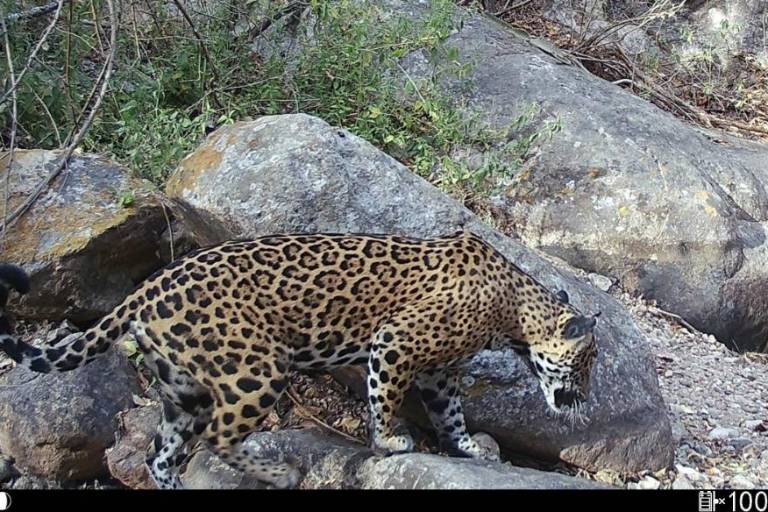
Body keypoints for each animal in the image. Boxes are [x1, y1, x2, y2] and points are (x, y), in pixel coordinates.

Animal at [0, 230, 599, 489]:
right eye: (588, 367)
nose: (586, 400)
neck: (515, 308)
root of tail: (143, 290)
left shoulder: (438, 370)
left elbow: (450, 412)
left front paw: (469, 447)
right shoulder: (397, 342)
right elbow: (384, 398)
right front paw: (389, 442)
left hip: (182, 391)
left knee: (161, 456)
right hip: (255, 371)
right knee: (219, 436)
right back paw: (281, 473)